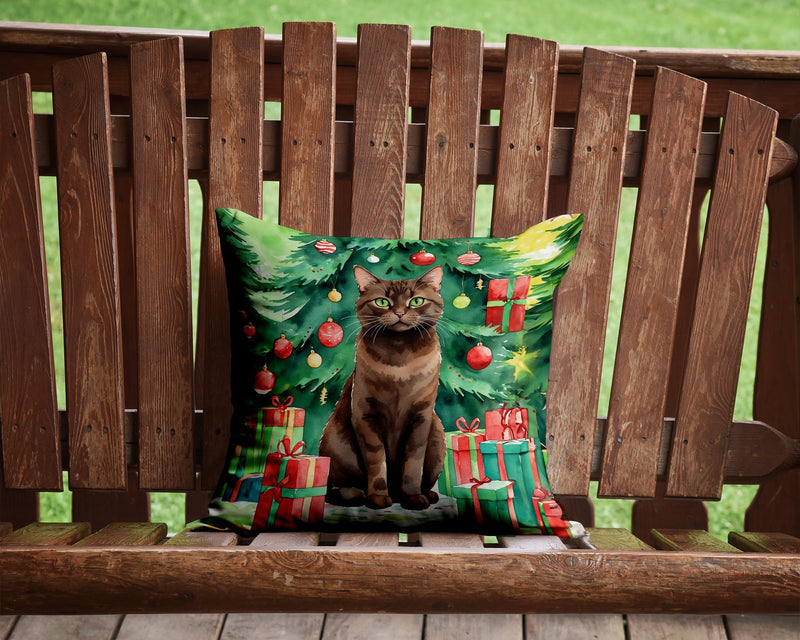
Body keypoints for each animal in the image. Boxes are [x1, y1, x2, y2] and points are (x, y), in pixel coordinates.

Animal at [318, 264, 446, 510]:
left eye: (416, 301)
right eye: (382, 302)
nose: (399, 312)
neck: (400, 360)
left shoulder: (421, 418)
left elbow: (413, 465)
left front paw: (413, 497)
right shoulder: (365, 415)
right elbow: (377, 461)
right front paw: (377, 498)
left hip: (437, 437)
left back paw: (426, 494)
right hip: (335, 443)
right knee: (333, 488)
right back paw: (356, 494)